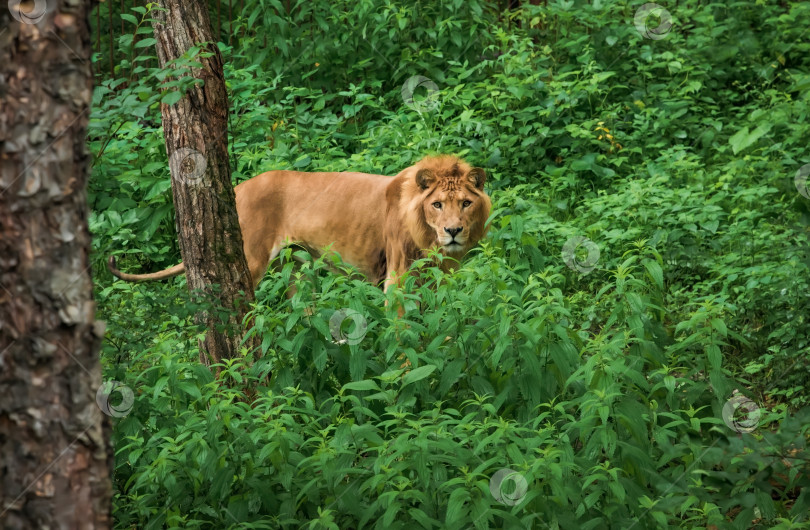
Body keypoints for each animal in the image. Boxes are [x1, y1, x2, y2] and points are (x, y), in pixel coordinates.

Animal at [105, 154, 486, 292]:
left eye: (465, 204)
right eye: (437, 205)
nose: (453, 231)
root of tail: (237, 189)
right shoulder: (397, 275)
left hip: (296, 267)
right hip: (251, 262)